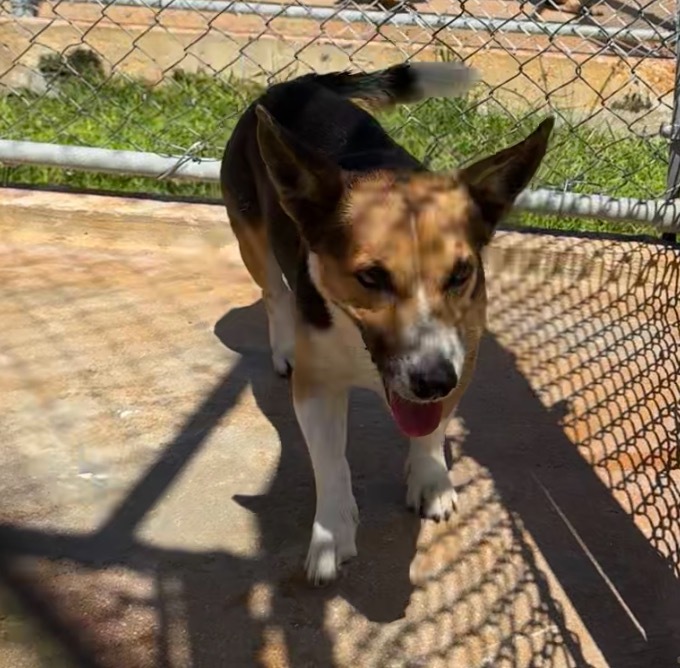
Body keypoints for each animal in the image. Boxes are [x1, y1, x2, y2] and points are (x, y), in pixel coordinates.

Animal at [220, 62, 556, 584]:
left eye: (460, 274)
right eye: (371, 277)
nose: (433, 380)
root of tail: (298, 84)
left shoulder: (464, 359)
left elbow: (432, 432)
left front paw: (430, 477)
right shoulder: (317, 389)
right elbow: (331, 465)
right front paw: (332, 532)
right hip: (250, 234)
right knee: (275, 293)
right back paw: (283, 347)